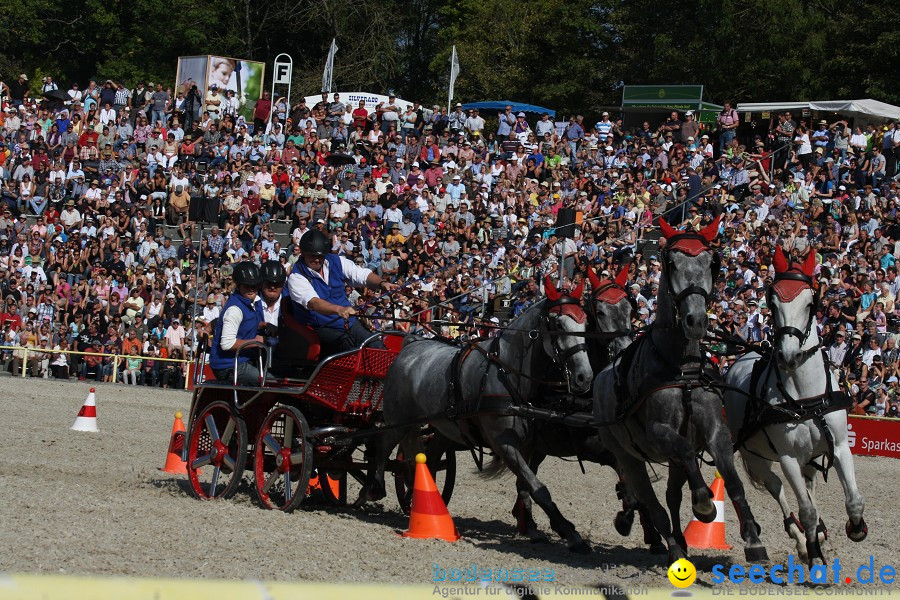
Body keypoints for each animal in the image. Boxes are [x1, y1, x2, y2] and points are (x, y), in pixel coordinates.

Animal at [366, 278, 596, 552]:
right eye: (558, 324)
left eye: (585, 323)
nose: (584, 377)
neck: (508, 373)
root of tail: (411, 343)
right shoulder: (503, 443)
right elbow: (538, 488)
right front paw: (569, 533)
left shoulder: (527, 445)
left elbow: (525, 485)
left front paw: (532, 527)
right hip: (398, 420)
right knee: (382, 445)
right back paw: (374, 487)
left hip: (445, 428)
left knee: (428, 460)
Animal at [592, 218, 768, 564]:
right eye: (672, 263)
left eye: (711, 262)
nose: (696, 320)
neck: (681, 368)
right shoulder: (661, 432)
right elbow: (687, 452)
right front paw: (703, 503)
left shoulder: (716, 430)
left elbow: (733, 481)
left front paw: (753, 537)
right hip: (627, 455)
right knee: (652, 501)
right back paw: (672, 545)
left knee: (671, 495)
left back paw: (680, 540)